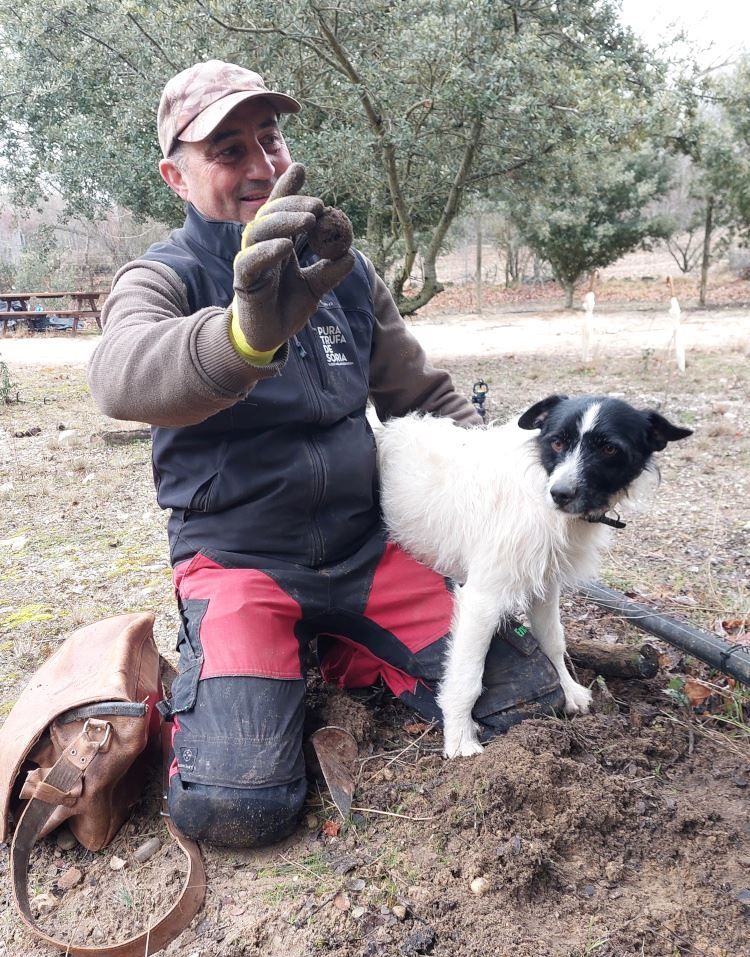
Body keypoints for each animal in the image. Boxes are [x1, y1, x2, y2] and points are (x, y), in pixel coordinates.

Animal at [376, 392, 692, 760]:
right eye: (556, 442)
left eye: (610, 449)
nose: (560, 493)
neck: (540, 483)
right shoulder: (481, 598)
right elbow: (467, 676)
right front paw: (459, 738)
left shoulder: (545, 585)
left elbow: (553, 642)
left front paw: (568, 690)